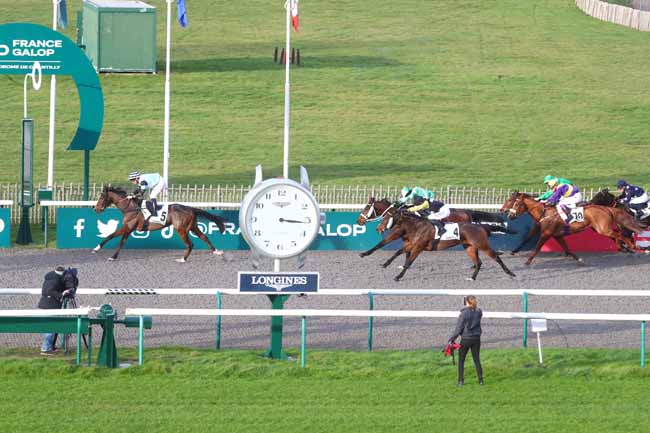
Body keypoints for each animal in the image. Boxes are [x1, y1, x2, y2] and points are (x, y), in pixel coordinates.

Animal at [92, 185, 227, 262]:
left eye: (102, 197)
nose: (96, 209)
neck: (130, 208)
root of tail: (190, 208)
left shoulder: (128, 228)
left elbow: (117, 240)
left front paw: (108, 254)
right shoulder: (127, 228)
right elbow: (114, 238)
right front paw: (99, 250)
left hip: (181, 229)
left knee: (190, 244)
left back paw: (182, 259)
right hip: (193, 227)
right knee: (204, 237)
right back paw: (217, 252)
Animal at [360, 208, 516, 282]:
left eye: (387, 218)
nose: (377, 228)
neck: (417, 226)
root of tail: (482, 226)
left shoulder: (418, 247)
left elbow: (408, 262)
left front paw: (398, 276)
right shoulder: (412, 244)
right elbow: (398, 252)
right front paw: (385, 264)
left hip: (483, 245)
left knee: (496, 257)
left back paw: (511, 273)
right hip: (469, 247)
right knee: (479, 262)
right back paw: (472, 278)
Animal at [498, 191, 640, 264]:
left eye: (514, 203)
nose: (508, 214)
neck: (544, 212)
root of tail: (606, 209)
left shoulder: (546, 233)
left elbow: (537, 247)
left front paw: (527, 261)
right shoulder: (556, 234)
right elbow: (566, 248)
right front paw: (578, 258)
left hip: (602, 229)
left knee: (620, 235)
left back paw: (632, 247)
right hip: (600, 228)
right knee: (618, 234)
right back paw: (627, 247)